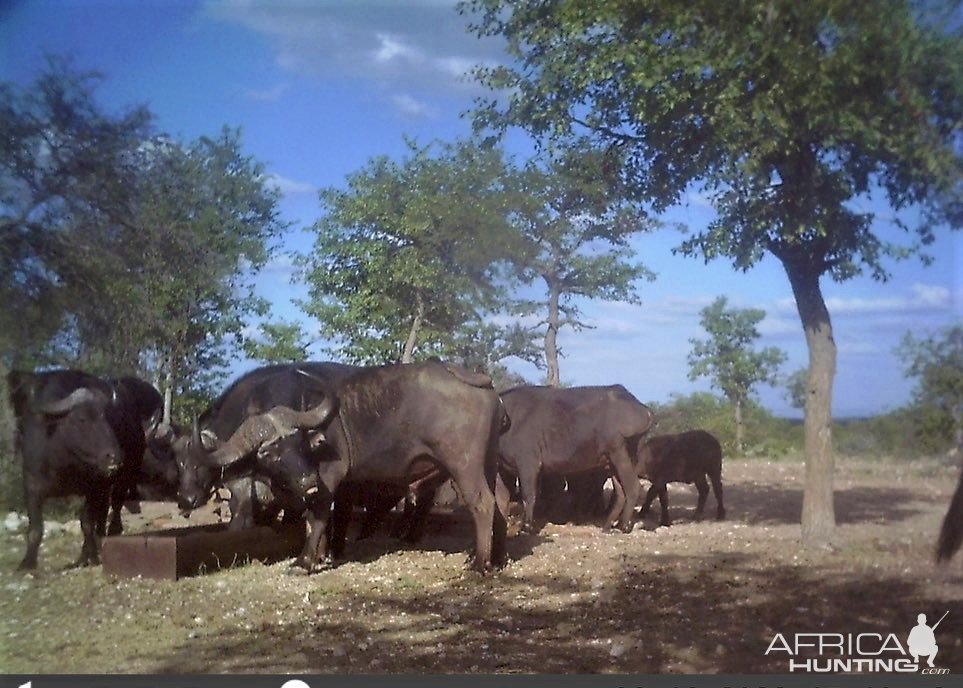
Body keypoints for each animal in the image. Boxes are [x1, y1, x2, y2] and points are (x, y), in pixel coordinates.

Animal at [7, 370, 161, 568]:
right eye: (82, 418)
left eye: (107, 418)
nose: (115, 456)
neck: (64, 462)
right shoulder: (32, 485)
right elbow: (35, 527)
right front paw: (27, 562)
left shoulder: (93, 488)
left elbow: (86, 522)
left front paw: (91, 556)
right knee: (102, 513)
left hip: (127, 474)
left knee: (115, 503)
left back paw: (110, 533)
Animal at [209, 362, 512, 572]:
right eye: (267, 452)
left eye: (299, 440)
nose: (307, 480)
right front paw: (321, 555)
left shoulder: (330, 475)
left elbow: (319, 515)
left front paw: (304, 561)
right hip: (489, 462)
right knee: (500, 503)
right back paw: (495, 558)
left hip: (463, 465)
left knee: (483, 503)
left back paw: (480, 563)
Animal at [498, 384, 656, 536]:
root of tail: (642, 409)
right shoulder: (502, 470)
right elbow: (502, 500)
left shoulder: (528, 465)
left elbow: (528, 496)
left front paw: (525, 528)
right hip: (613, 462)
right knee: (621, 493)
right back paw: (608, 526)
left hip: (620, 454)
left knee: (633, 488)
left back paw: (622, 526)